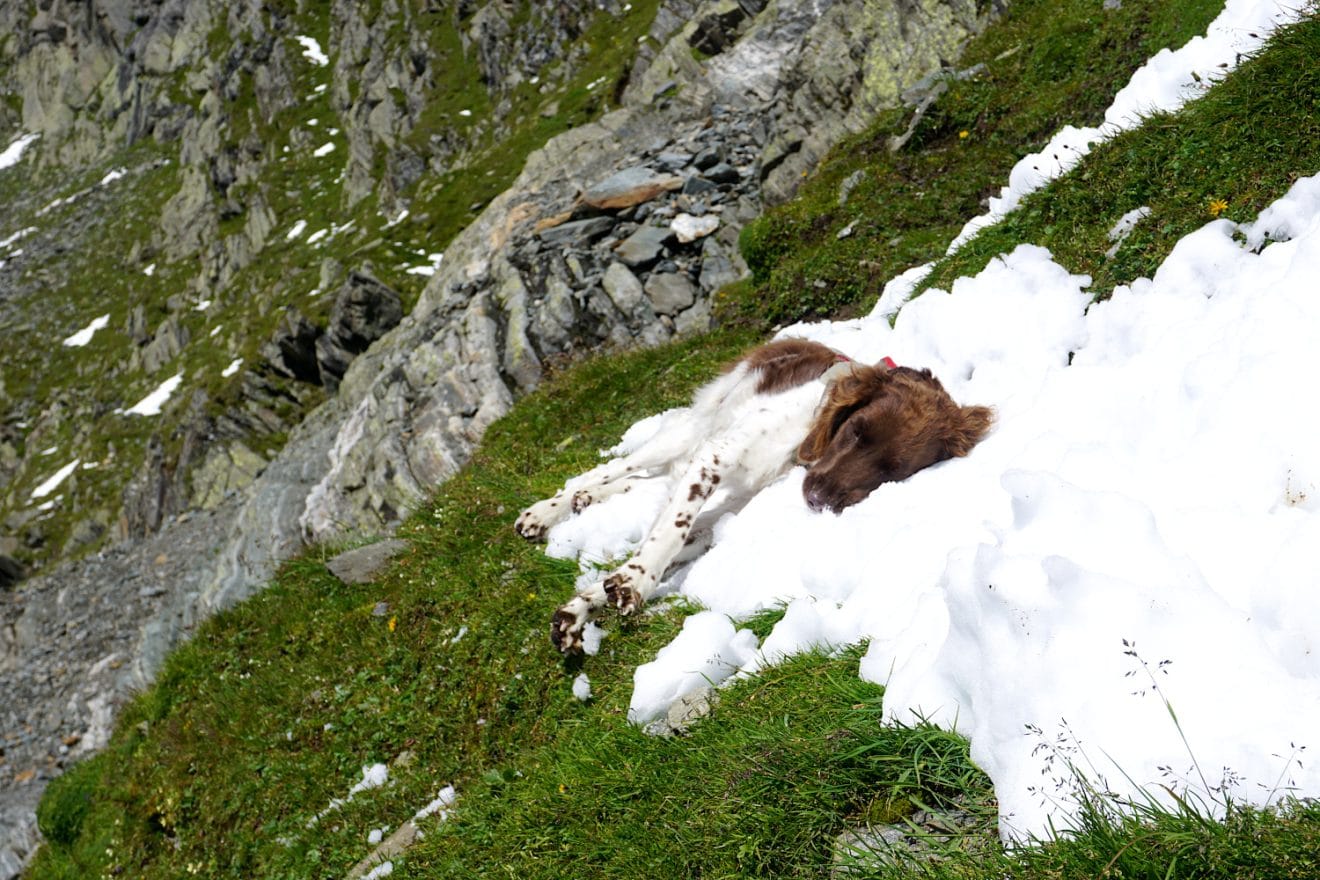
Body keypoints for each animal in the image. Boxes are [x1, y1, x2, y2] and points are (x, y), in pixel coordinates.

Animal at [514, 337, 992, 654]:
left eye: (892, 471)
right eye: (855, 431)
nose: (817, 499)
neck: (800, 439)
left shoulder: (726, 508)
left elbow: (672, 535)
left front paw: (582, 608)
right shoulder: (716, 455)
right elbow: (671, 529)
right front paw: (634, 582)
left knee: (648, 481)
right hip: (692, 429)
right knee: (613, 468)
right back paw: (545, 511)